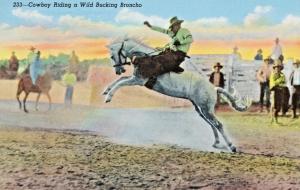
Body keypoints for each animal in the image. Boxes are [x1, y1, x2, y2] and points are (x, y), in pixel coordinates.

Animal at [103, 37, 251, 152]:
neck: (144, 57)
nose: (118, 70)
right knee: (212, 124)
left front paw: (108, 97)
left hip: (206, 109)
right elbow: (121, 80)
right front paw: (106, 90)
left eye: (112, 55)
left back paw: (232, 147)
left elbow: (121, 83)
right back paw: (216, 143)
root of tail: (214, 88)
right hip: (201, 110)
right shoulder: (135, 78)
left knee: (218, 124)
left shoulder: (138, 80)